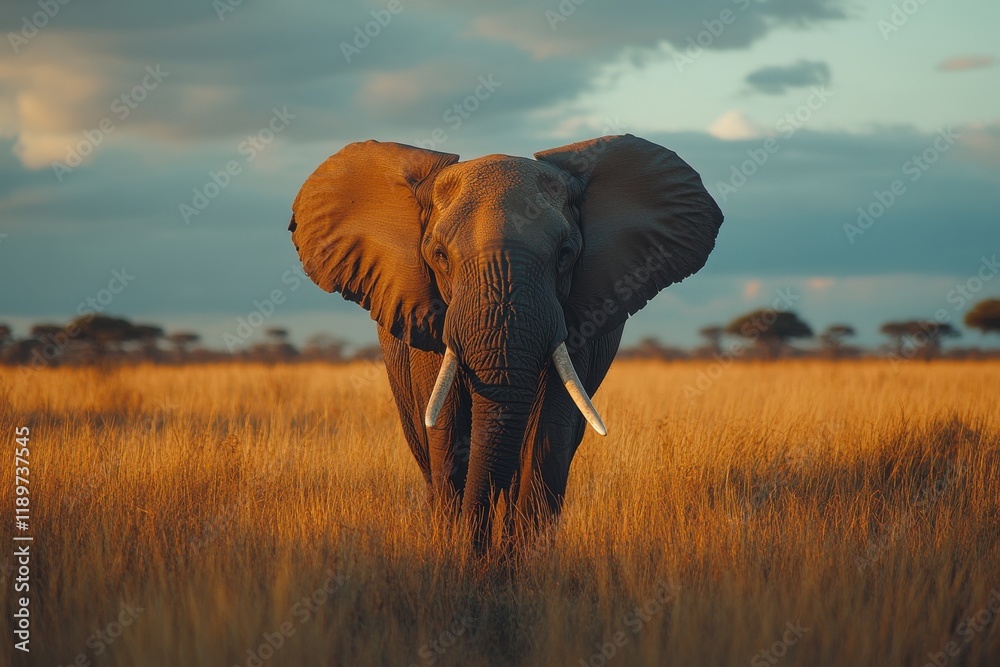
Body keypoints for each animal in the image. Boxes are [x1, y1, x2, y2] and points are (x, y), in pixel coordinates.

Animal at [288, 134, 723, 552]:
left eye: (565, 254)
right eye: (439, 256)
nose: (477, 551)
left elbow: (547, 436)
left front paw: (514, 568)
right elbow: (447, 433)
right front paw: (460, 561)